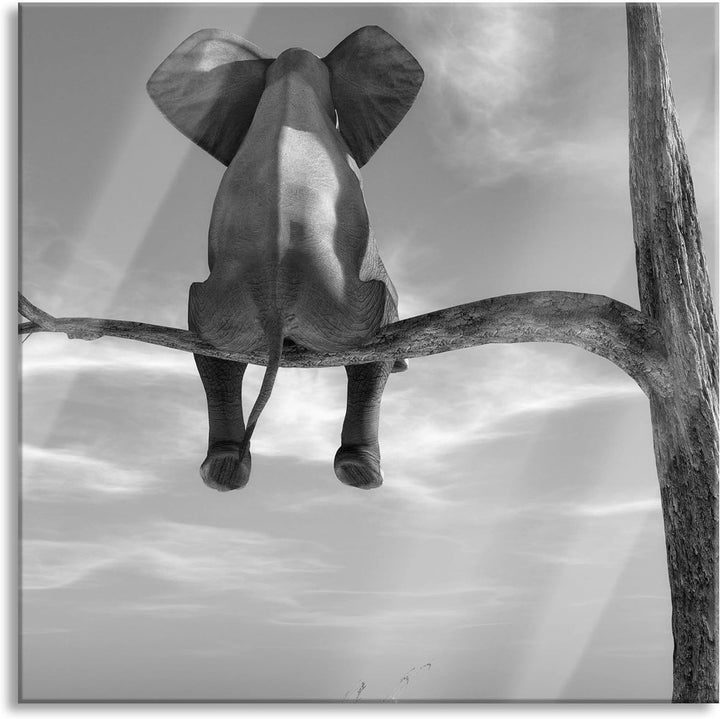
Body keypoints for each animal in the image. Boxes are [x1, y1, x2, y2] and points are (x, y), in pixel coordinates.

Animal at [146, 26, 424, 491]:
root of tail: (274, 303)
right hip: (345, 307)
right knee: (373, 341)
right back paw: (361, 472)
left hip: (221, 307)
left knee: (213, 351)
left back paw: (222, 471)